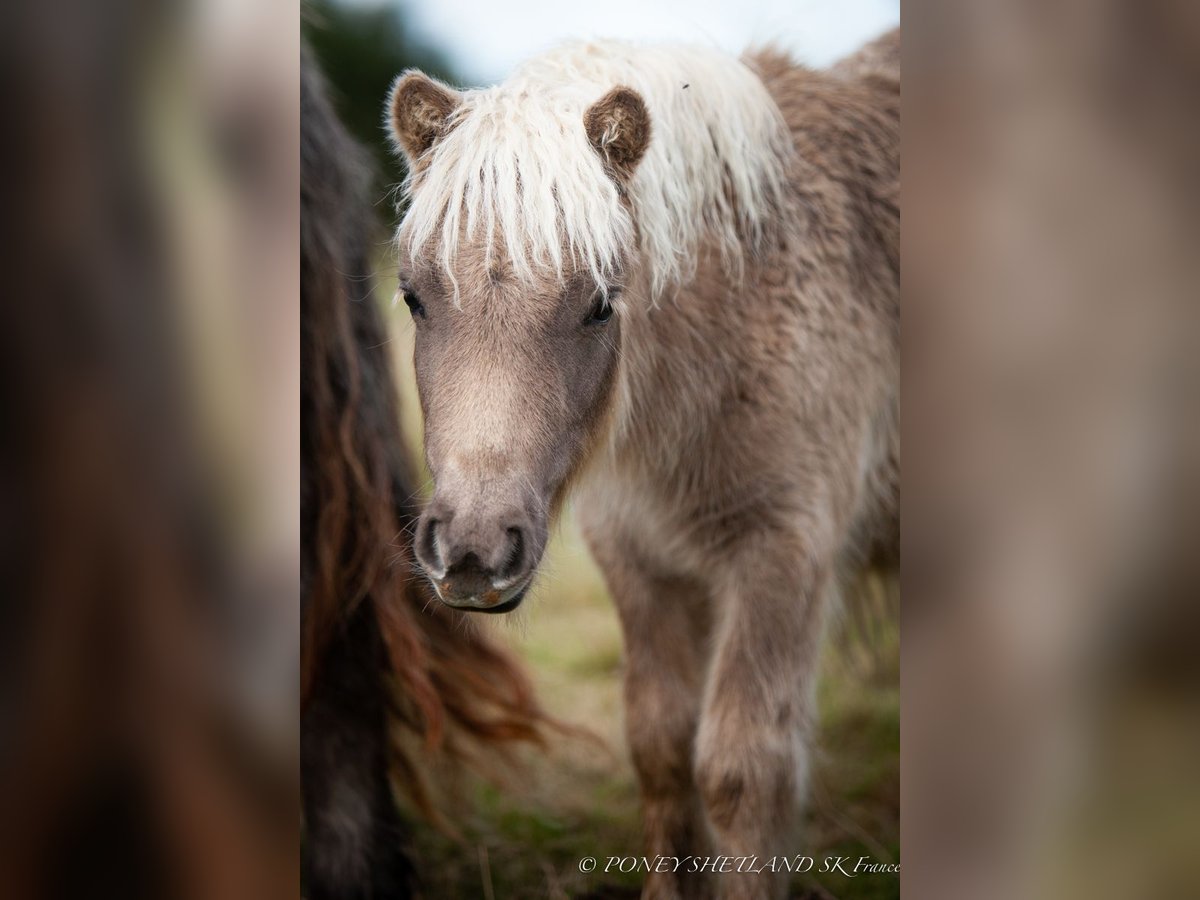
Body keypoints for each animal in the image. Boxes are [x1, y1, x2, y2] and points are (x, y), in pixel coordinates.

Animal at [386, 30, 902, 900]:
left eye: (602, 302)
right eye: (413, 298)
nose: (473, 552)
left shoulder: (784, 555)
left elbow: (742, 773)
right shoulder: (637, 557)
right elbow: (659, 748)